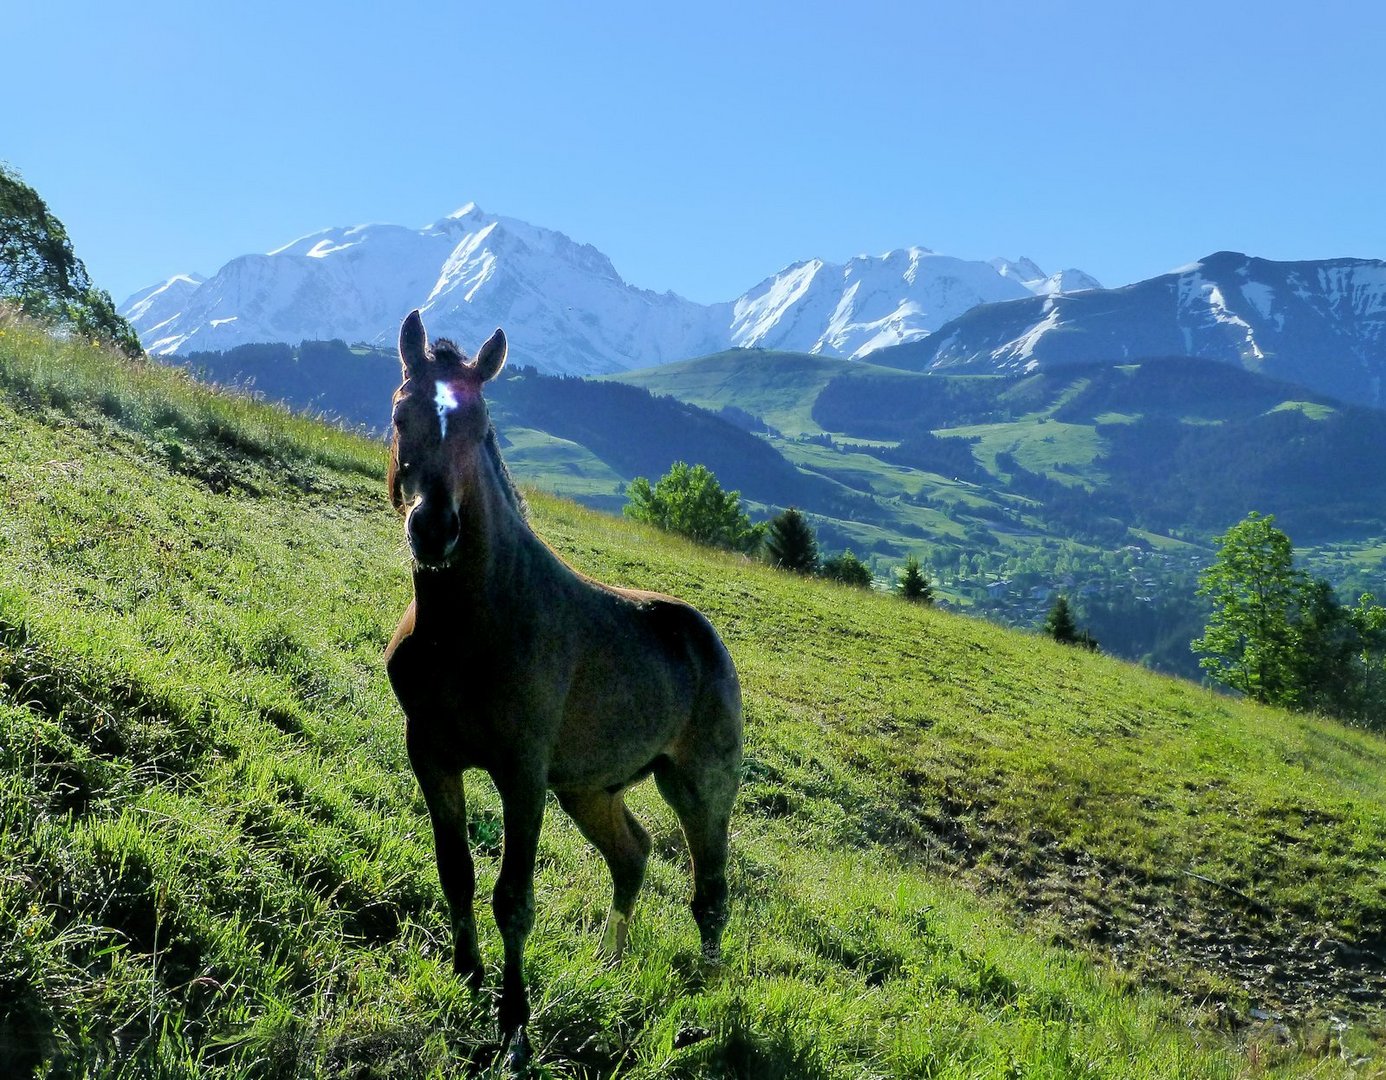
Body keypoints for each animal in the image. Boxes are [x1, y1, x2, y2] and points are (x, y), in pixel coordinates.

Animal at [379, 307, 748, 1070]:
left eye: (481, 426)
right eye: (402, 414)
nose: (435, 529)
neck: (469, 627)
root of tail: (708, 640)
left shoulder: (522, 773)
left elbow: (513, 899)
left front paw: (514, 1031)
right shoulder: (430, 753)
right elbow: (456, 871)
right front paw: (467, 977)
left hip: (700, 783)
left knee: (711, 892)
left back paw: (704, 994)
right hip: (588, 787)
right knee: (632, 855)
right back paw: (610, 963)